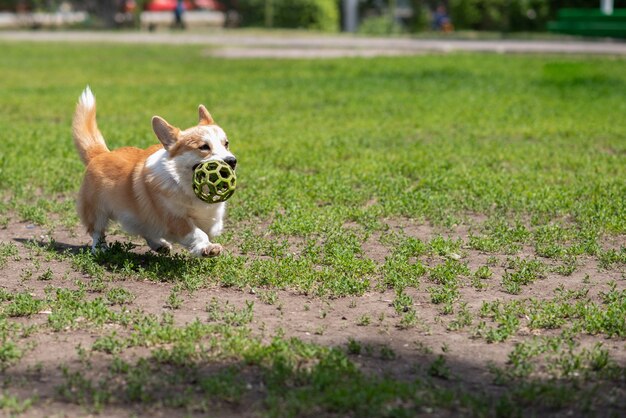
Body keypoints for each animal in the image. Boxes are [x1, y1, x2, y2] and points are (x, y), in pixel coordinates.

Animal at [71, 88, 236, 256]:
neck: (184, 184)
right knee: (97, 230)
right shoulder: (174, 218)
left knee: (146, 229)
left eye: (226, 144)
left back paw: (159, 244)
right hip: (97, 211)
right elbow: (197, 233)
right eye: (203, 147)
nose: (232, 161)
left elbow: (211, 227)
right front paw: (207, 248)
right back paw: (100, 249)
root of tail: (100, 153)